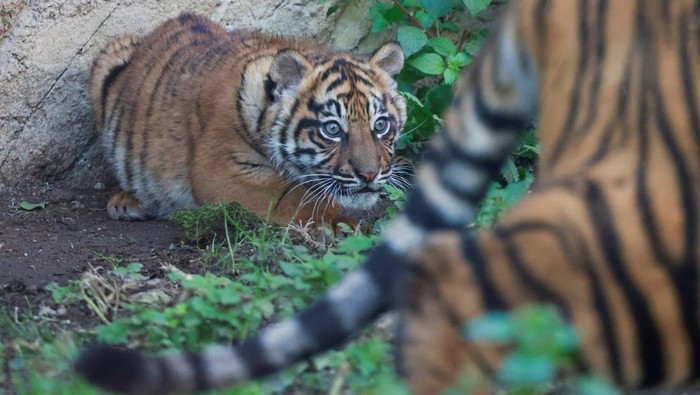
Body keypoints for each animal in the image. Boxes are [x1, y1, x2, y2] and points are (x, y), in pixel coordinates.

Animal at [91, 13, 410, 226]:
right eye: (332, 129)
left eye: (380, 125)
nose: (368, 175)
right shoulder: (220, 170)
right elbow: (294, 196)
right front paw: (338, 224)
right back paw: (128, 202)